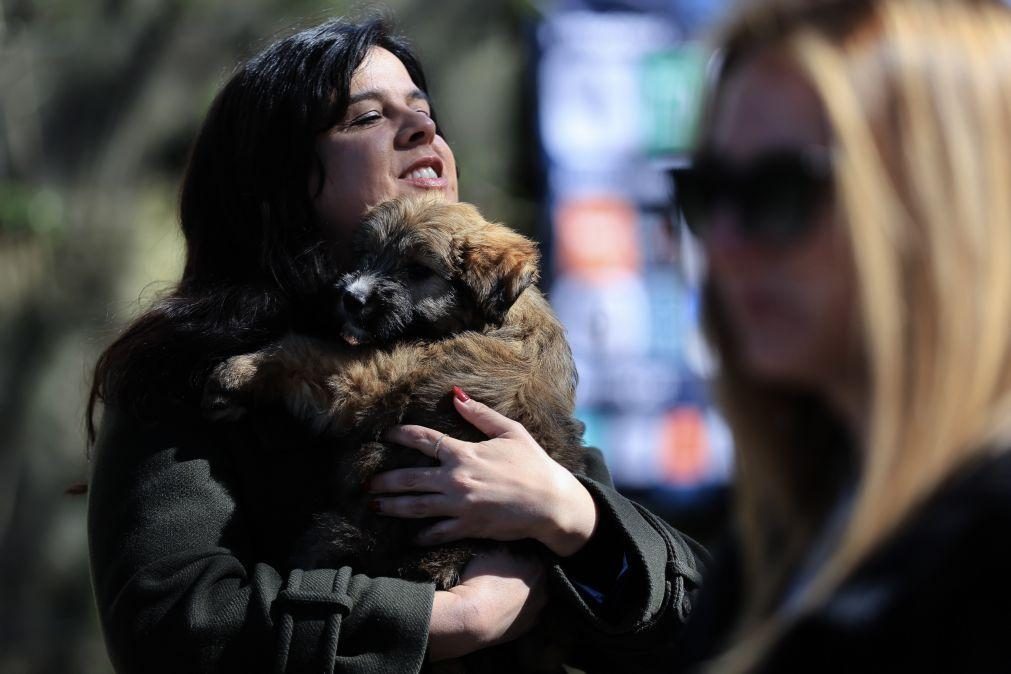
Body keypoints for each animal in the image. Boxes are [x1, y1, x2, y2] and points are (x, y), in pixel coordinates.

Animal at [203, 196, 586, 590]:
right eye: (366, 255)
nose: (351, 298)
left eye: (417, 270)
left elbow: (305, 352)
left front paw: (237, 372)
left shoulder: (377, 378)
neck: (494, 320)